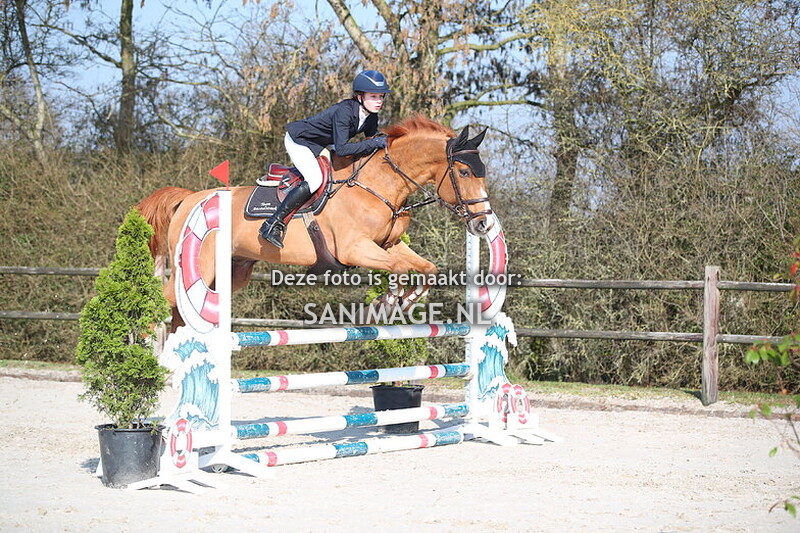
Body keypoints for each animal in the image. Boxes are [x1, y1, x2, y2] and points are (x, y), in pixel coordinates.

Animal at [137, 115, 493, 331]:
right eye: (464, 172)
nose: (483, 225)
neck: (379, 184)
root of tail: (189, 198)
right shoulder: (355, 249)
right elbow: (400, 270)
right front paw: (385, 304)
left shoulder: (388, 245)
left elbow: (427, 269)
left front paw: (402, 303)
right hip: (199, 265)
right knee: (165, 301)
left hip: (232, 271)